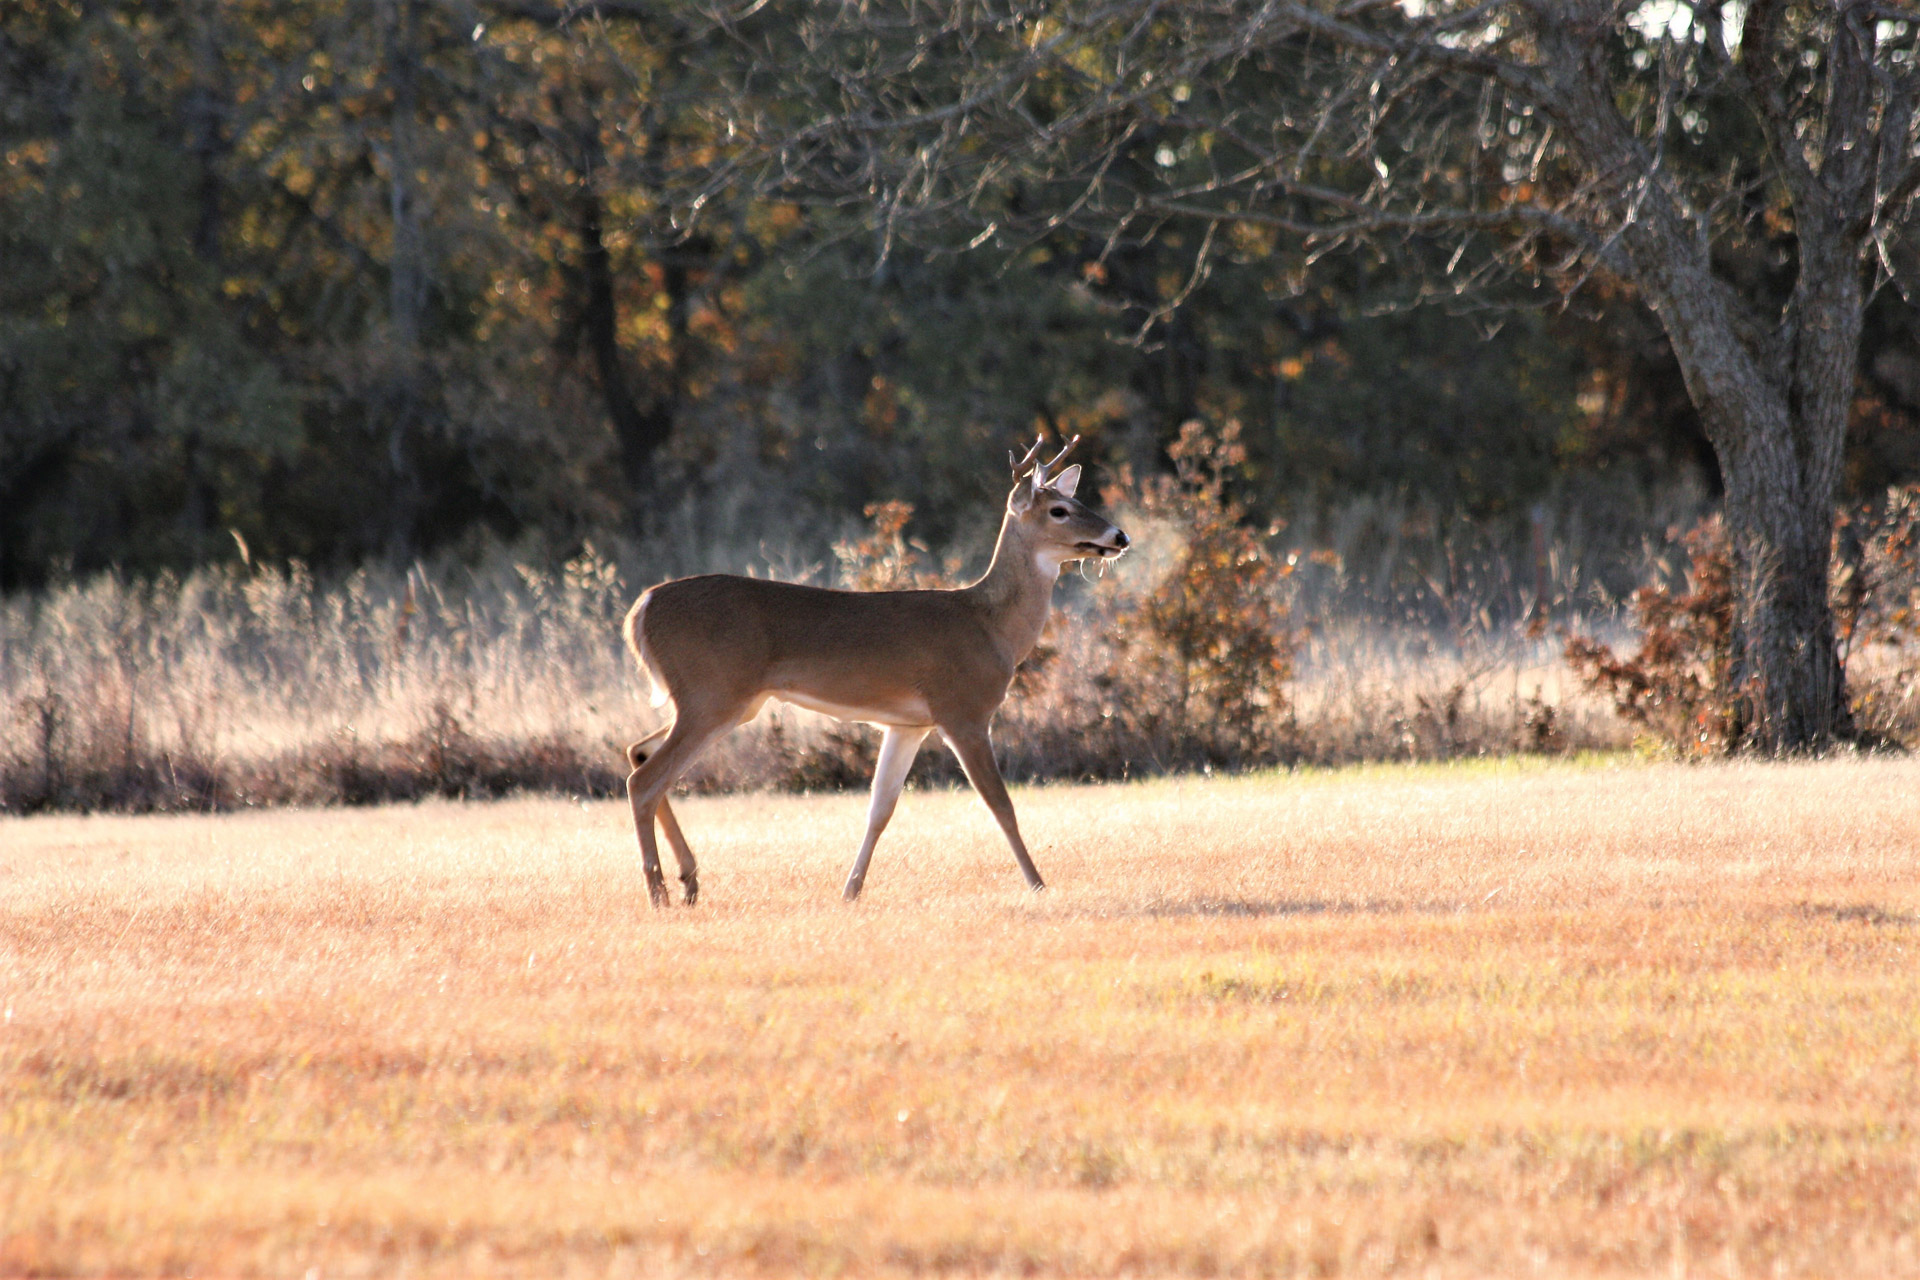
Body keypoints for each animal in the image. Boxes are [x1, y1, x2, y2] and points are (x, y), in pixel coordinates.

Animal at [622, 435, 1121, 905]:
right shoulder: (963, 710)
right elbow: (1001, 804)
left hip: (723, 702)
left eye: (1079, 501)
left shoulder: (907, 725)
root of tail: (641, 610)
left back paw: (688, 881)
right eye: (1060, 510)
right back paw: (659, 893)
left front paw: (851, 890)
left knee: (638, 752)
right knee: (643, 779)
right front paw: (1038, 884)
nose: (1120, 536)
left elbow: (880, 809)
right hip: (713, 694)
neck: (990, 625)